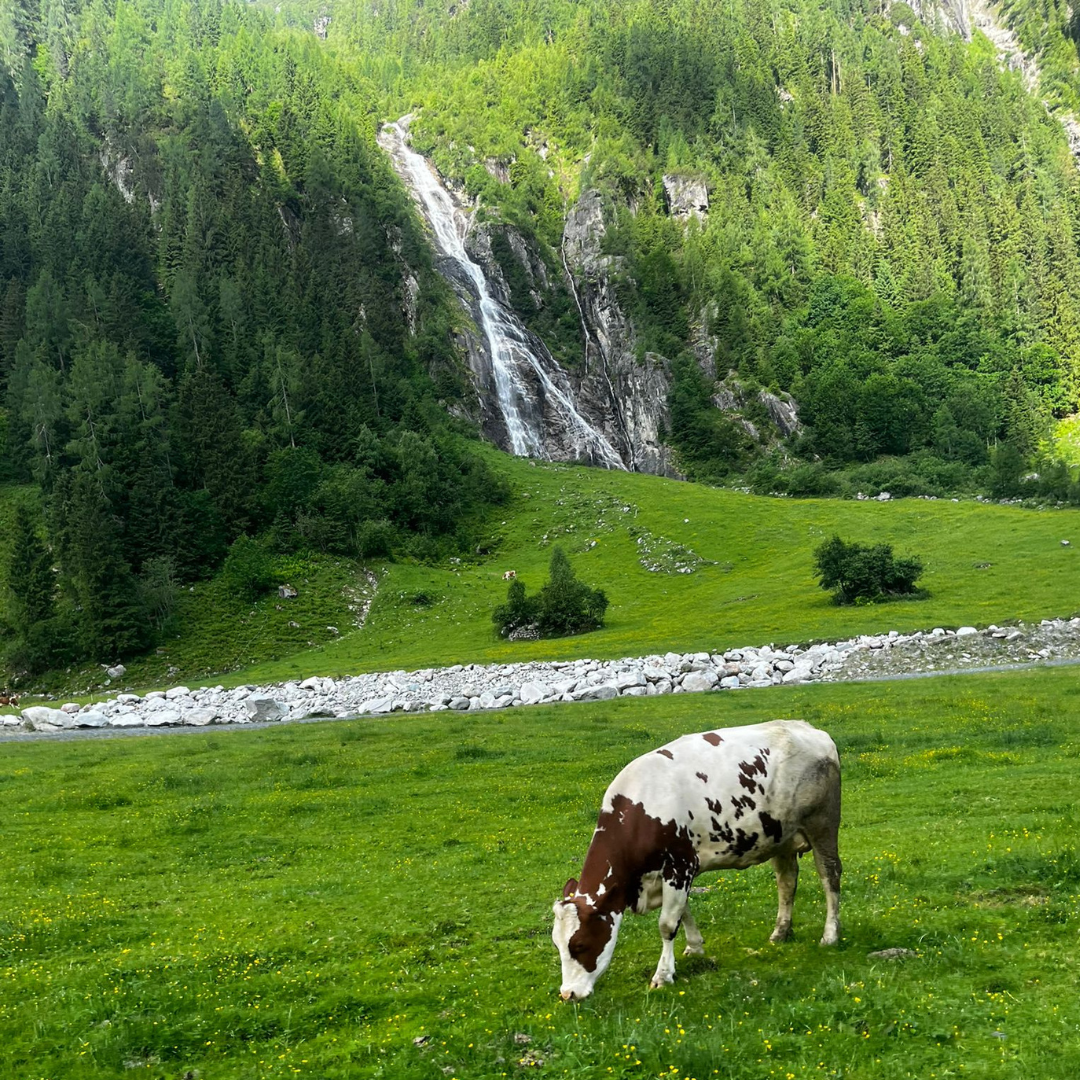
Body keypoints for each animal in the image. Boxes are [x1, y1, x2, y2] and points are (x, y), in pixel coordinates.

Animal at [552, 719, 841, 1000]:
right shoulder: (675, 873)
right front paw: (694, 947)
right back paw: (780, 932)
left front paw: (663, 975)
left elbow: (667, 924)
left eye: (579, 944)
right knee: (787, 882)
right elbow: (683, 911)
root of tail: (811, 730)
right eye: (557, 944)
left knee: (830, 876)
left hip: (822, 825)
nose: (568, 994)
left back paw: (830, 935)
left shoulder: (680, 866)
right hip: (781, 837)